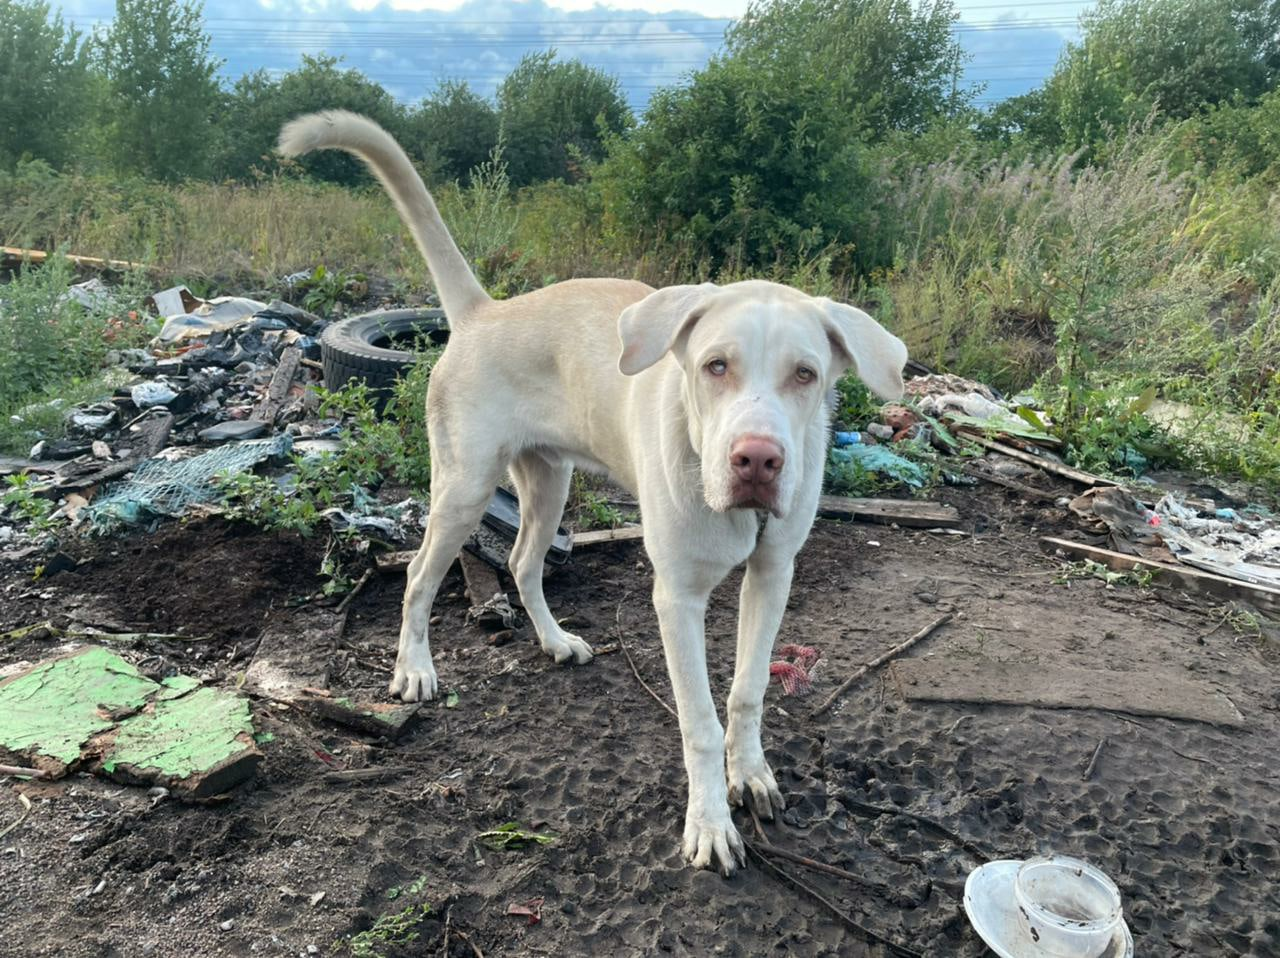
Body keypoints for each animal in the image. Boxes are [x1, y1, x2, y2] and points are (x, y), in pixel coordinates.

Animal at [280, 112, 911, 876]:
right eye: (715, 367)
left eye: (806, 374)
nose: (757, 461)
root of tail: (482, 312)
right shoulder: (677, 599)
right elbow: (699, 721)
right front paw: (709, 822)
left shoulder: (773, 573)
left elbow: (748, 689)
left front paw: (751, 774)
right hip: (463, 488)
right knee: (418, 577)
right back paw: (415, 670)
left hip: (548, 482)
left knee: (521, 563)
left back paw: (554, 642)